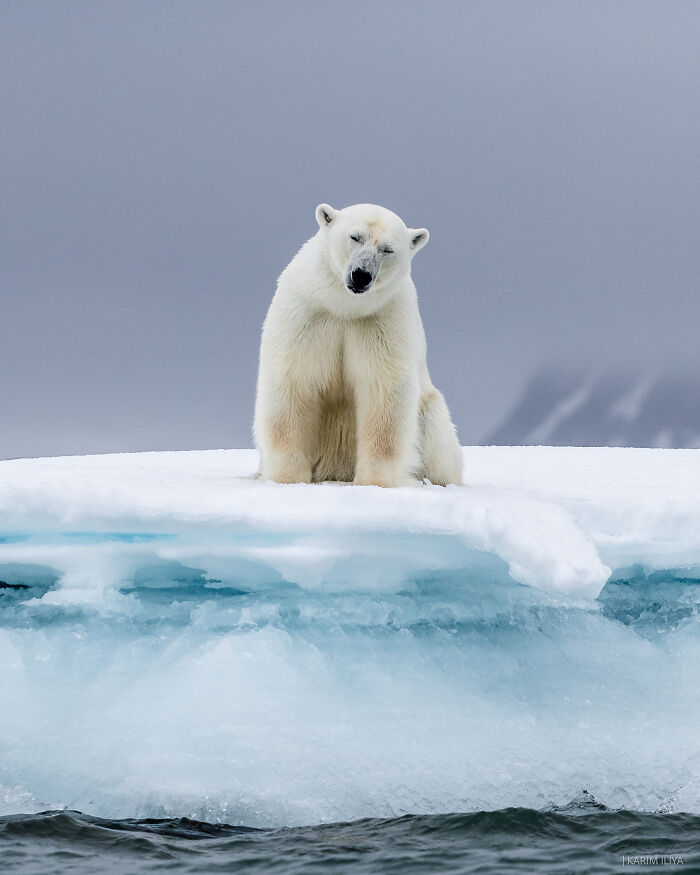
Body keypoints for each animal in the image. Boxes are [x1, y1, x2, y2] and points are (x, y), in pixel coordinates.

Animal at [254, 202, 463, 488]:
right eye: (355, 237)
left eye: (387, 249)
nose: (361, 275)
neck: (344, 307)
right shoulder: (306, 314)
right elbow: (294, 382)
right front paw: (287, 479)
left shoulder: (383, 321)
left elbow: (384, 393)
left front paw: (375, 482)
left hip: (430, 412)